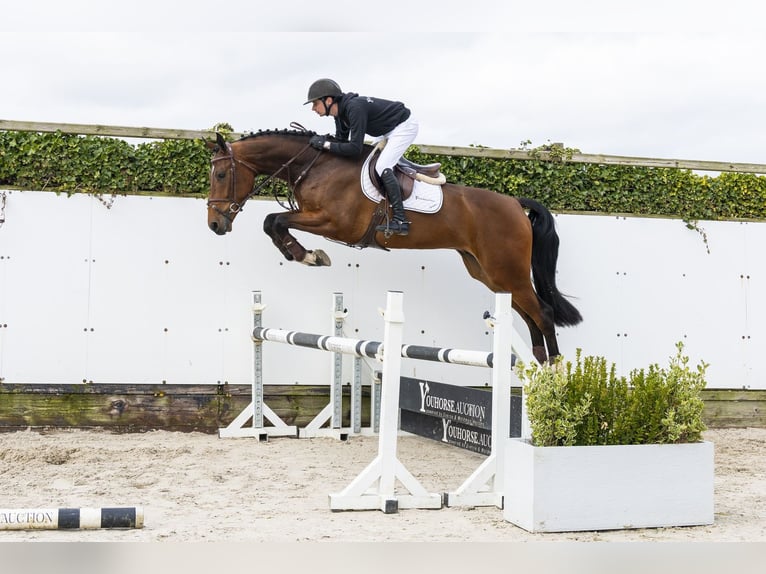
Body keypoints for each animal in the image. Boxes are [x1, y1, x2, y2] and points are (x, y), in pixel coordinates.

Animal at [205, 129, 582, 363]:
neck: (317, 166)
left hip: (506, 270)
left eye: (221, 175)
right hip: (489, 273)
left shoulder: (335, 223)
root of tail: (516, 204)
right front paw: (304, 254)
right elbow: (272, 221)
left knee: (543, 314)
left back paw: (555, 373)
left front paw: (308, 255)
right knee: (529, 315)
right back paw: (536, 367)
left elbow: (275, 220)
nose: (215, 225)